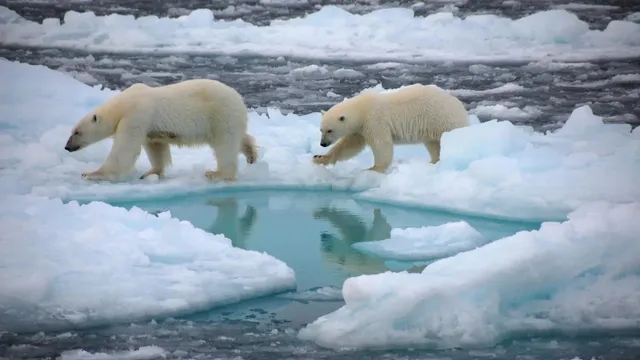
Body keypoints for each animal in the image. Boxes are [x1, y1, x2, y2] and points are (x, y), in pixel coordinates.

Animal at [63, 77, 256, 181]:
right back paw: (251, 154)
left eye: (77, 132)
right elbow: (156, 147)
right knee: (238, 138)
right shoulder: (149, 127)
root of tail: (239, 98)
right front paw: (151, 172)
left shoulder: (136, 115)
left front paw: (92, 174)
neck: (123, 104)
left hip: (220, 115)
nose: (67, 147)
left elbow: (125, 149)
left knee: (225, 144)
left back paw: (217, 173)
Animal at [312, 85, 468, 174]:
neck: (362, 110)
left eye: (330, 130)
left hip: (443, 120)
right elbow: (349, 146)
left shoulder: (374, 121)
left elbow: (381, 145)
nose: (322, 144)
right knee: (433, 144)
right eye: (321, 130)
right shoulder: (360, 129)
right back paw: (433, 162)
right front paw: (319, 158)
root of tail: (460, 106)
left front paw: (373, 168)